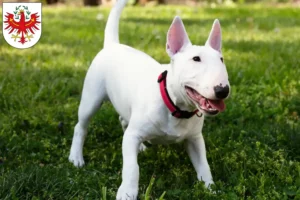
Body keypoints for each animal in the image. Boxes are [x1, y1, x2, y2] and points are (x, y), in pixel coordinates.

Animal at [69, 0, 231, 198]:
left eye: (222, 60)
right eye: (195, 59)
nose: (223, 90)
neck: (175, 107)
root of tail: (112, 45)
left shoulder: (194, 139)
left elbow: (203, 165)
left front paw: (211, 189)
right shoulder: (132, 137)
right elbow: (132, 167)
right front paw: (127, 193)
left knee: (123, 120)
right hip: (91, 98)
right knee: (81, 126)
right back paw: (76, 157)